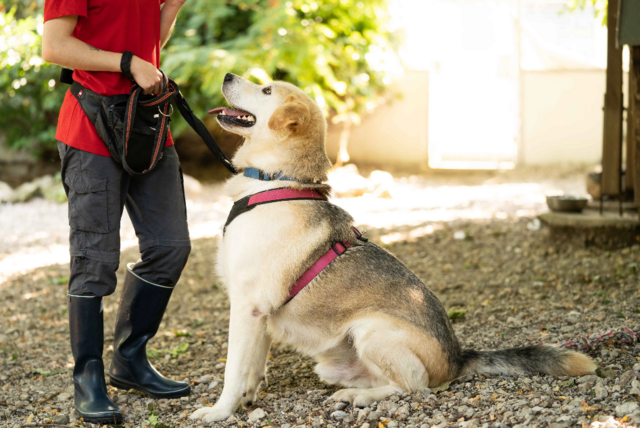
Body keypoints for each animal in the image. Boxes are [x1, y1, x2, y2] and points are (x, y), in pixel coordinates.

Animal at [189, 73, 595, 423]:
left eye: (267, 90)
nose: (226, 75)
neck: (277, 183)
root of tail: (459, 358)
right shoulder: (258, 317)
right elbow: (253, 367)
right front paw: (246, 399)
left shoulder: (247, 307)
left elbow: (233, 369)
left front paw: (219, 411)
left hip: (371, 330)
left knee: (413, 387)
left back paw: (361, 398)